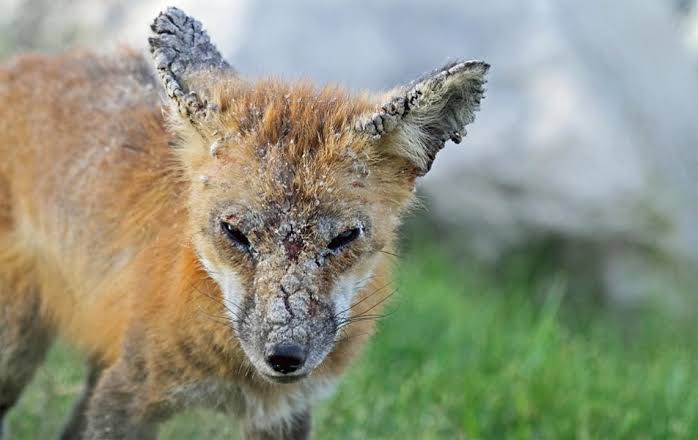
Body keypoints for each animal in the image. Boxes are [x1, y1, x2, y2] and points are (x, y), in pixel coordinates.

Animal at [0, 6, 488, 440]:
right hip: (16, 348)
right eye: (235, 233)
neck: (240, 381)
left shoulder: (282, 414)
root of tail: (31, 61)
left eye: (344, 237)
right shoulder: (127, 393)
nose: (285, 354)